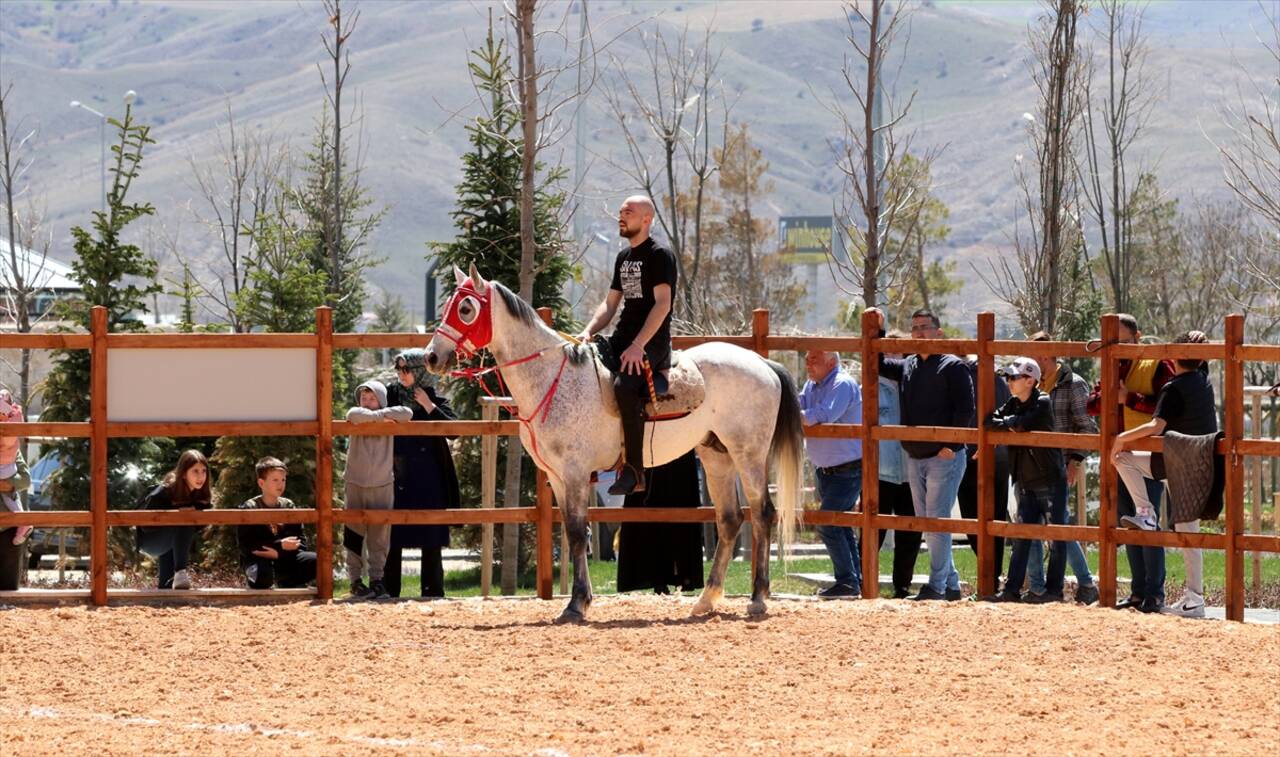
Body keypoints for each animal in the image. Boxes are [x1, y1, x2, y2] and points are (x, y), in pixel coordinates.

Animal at [424, 266, 798, 622]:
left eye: (466, 308)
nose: (431, 357)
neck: (552, 377)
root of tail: (762, 363)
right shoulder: (557, 477)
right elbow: (574, 532)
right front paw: (581, 600)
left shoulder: (575, 473)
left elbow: (578, 533)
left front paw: (576, 604)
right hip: (716, 456)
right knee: (730, 519)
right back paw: (706, 600)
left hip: (748, 455)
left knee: (763, 514)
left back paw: (758, 598)